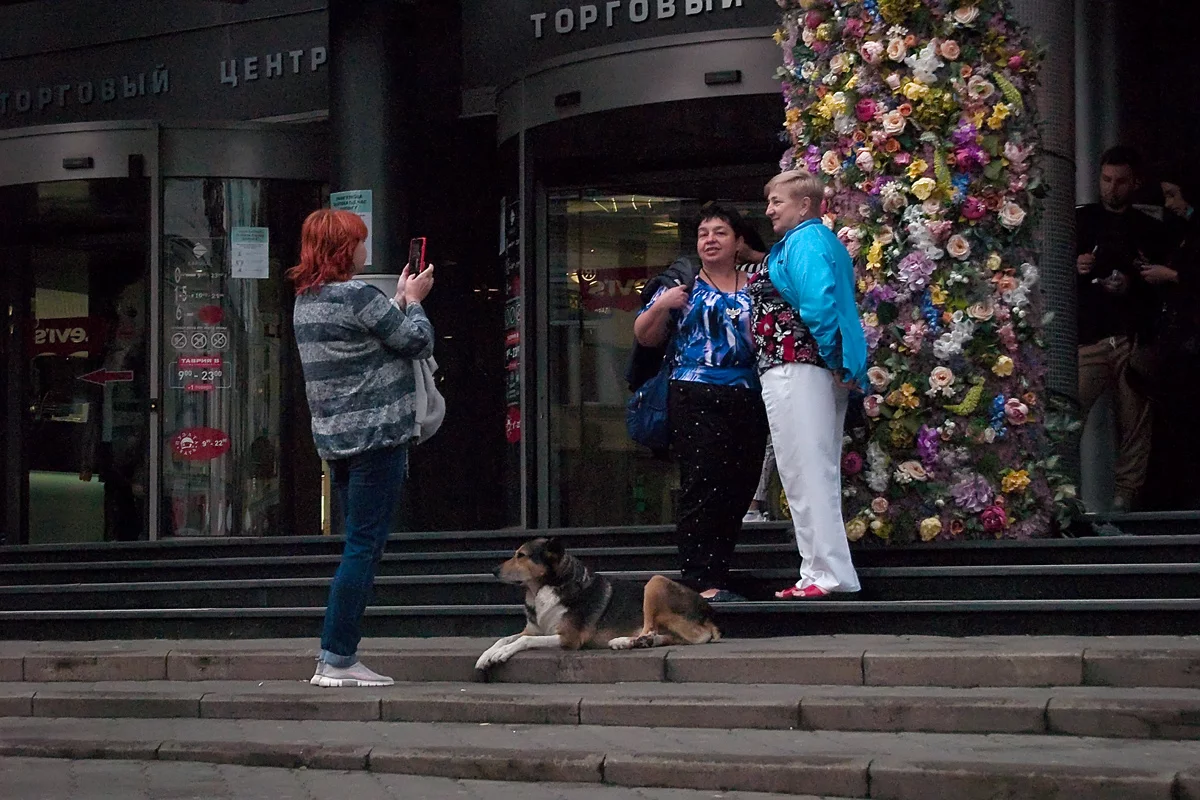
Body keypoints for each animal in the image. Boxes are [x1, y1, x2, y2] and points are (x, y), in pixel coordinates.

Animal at [475, 536, 721, 671]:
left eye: (522, 555)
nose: (493, 570)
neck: (545, 588)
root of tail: (708, 611)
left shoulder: (569, 638)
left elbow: (523, 640)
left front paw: (501, 654)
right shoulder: (534, 629)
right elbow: (504, 638)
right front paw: (487, 655)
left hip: (655, 581)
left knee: (656, 629)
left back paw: (627, 640)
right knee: (666, 635)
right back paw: (635, 642)